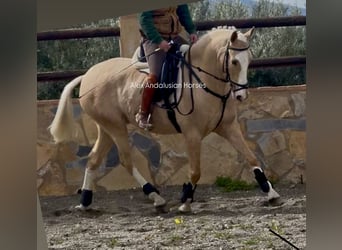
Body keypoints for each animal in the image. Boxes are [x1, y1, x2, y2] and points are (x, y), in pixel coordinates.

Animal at [50, 26, 280, 212]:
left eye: (250, 60)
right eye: (233, 61)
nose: (241, 96)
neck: (205, 81)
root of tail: (88, 75)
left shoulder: (228, 127)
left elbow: (252, 158)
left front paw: (271, 194)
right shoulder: (192, 134)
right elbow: (195, 171)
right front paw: (186, 202)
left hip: (106, 128)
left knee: (93, 159)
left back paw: (85, 202)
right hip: (115, 127)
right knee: (125, 160)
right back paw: (156, 197)